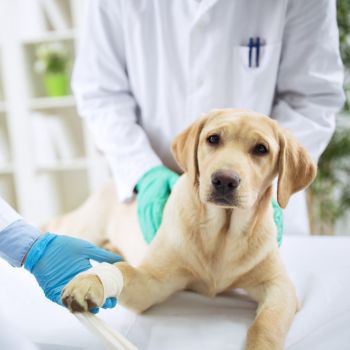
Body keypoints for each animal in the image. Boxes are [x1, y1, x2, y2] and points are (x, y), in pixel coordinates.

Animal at [56, 108, 316, 348]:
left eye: (261, 149)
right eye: (213, 139)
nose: (224, 180)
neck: (222, 234)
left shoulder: (280, 287)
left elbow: (266, 325)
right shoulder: (152, 283)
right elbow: (124, 270)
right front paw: (90, 281)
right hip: (84, 226)